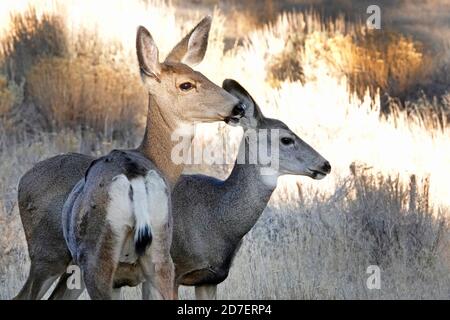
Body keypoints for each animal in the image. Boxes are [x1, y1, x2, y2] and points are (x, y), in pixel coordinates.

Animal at [14, 15, 246, 300]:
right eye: (186, 84)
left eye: (203, 75)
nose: (238, 107)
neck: (152, 158)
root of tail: (23, 181)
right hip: (81, 254)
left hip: (83, 258)